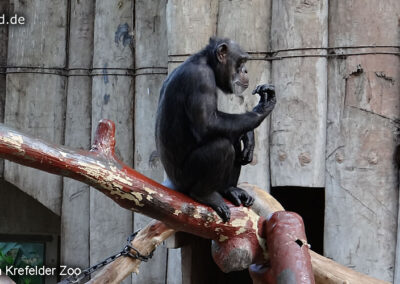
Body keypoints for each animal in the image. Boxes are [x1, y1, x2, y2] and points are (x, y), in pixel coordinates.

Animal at [155, 37, 276, 222]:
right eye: (241, 61)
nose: (245, 70)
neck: (208, 62)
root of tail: (171, 184)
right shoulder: (201, 79)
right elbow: (207, 123)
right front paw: (262, 107)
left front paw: (249, 137)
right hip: (185, 180)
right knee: (222, 146)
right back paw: (205, 195)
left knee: (233, 139)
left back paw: (230, 190)